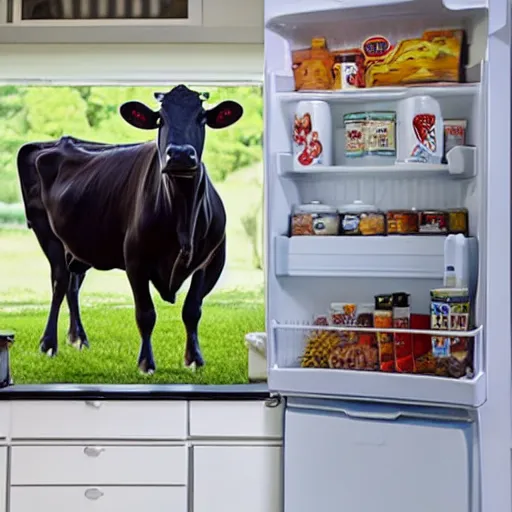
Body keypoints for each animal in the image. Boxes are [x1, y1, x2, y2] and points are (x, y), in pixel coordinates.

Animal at [17, 83, 245, 372]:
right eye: (160, 119)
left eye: (202, 117)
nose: (180, 155)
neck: (182, 214)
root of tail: (59, 141)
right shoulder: (136, 260)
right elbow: (146, 314)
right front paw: (146, 362)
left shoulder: (212, 259)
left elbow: (192, 310)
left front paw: (194, 358)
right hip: (46, 233)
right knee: (59, 283)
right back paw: (49, 344)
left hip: (79, 245)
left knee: (73, 284)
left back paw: (78, 338)